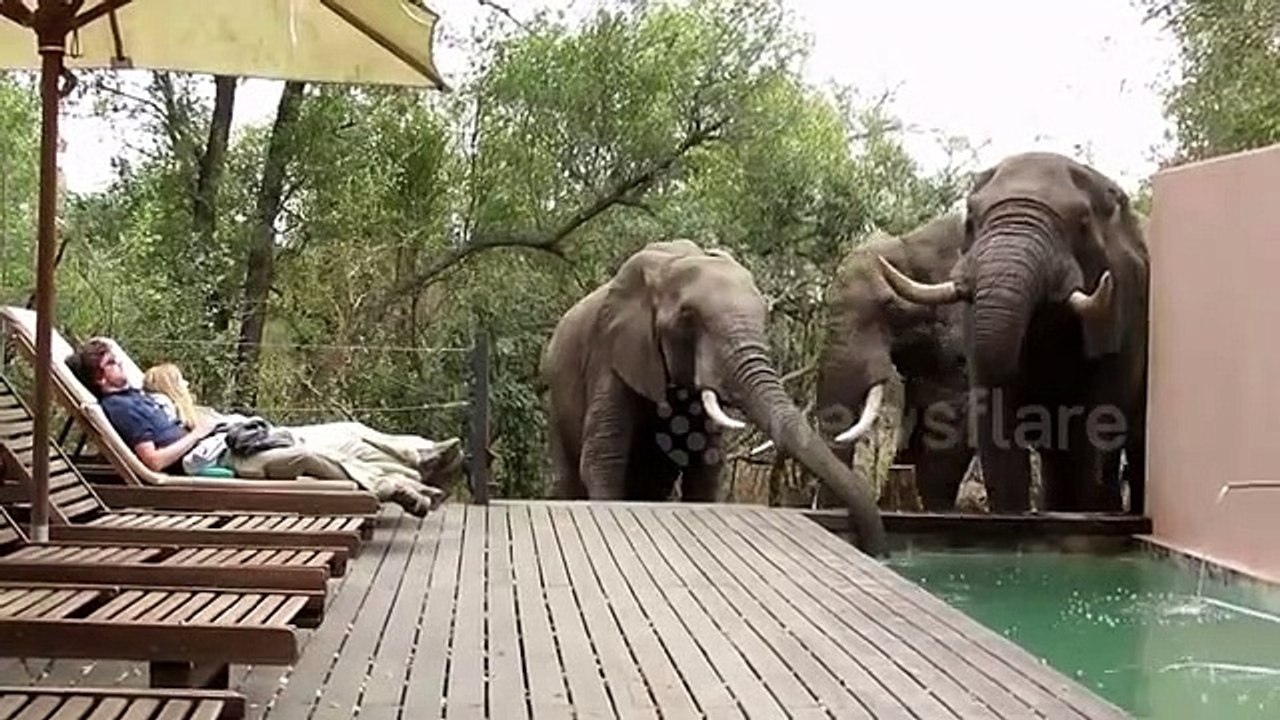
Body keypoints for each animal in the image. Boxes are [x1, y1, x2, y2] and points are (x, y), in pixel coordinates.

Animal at [539, 239, 888, 556]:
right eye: (687, 316)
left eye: (764, 314)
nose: (876, 550)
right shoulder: (611, 354)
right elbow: (604, 457)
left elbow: (705, 467)